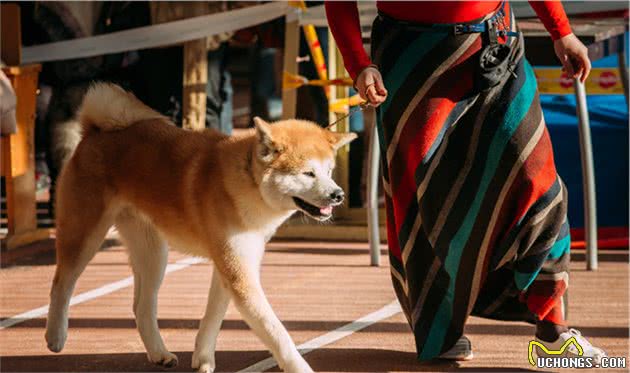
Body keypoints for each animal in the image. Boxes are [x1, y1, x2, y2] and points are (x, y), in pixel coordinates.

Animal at [45, 82, 358, 372]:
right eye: (308, 173)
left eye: (329, 171)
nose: (338, 194)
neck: (247, 182)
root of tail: (96, 132)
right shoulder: (238, 274)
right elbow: (276, 332)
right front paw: (298, 366)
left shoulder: (232, 264)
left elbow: (212, 317)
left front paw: (203, 358)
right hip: (85, 234)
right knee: (61, 283)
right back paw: (55, 336)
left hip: (152, 252)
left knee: (141, 307)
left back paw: (159, 353)